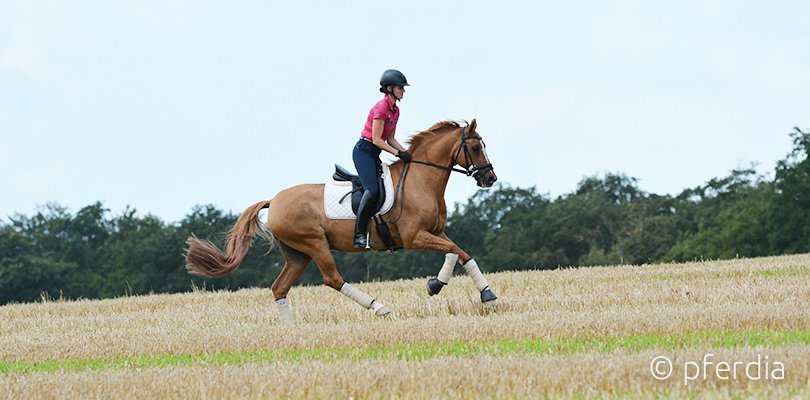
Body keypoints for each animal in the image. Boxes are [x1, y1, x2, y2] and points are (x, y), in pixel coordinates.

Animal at [185, 118, 496, 322]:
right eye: (475, 148)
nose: (490, 178)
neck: (420, 179)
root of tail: (274, 201)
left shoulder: (435, 232)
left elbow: (461, 253)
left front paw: (484, 294)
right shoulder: (414, 237)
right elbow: (454, 252)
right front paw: (438, 285)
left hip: (298, 255)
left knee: (279, 287)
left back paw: (291, 330)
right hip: (314, 244)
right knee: (332, 279)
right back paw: (379, 307)